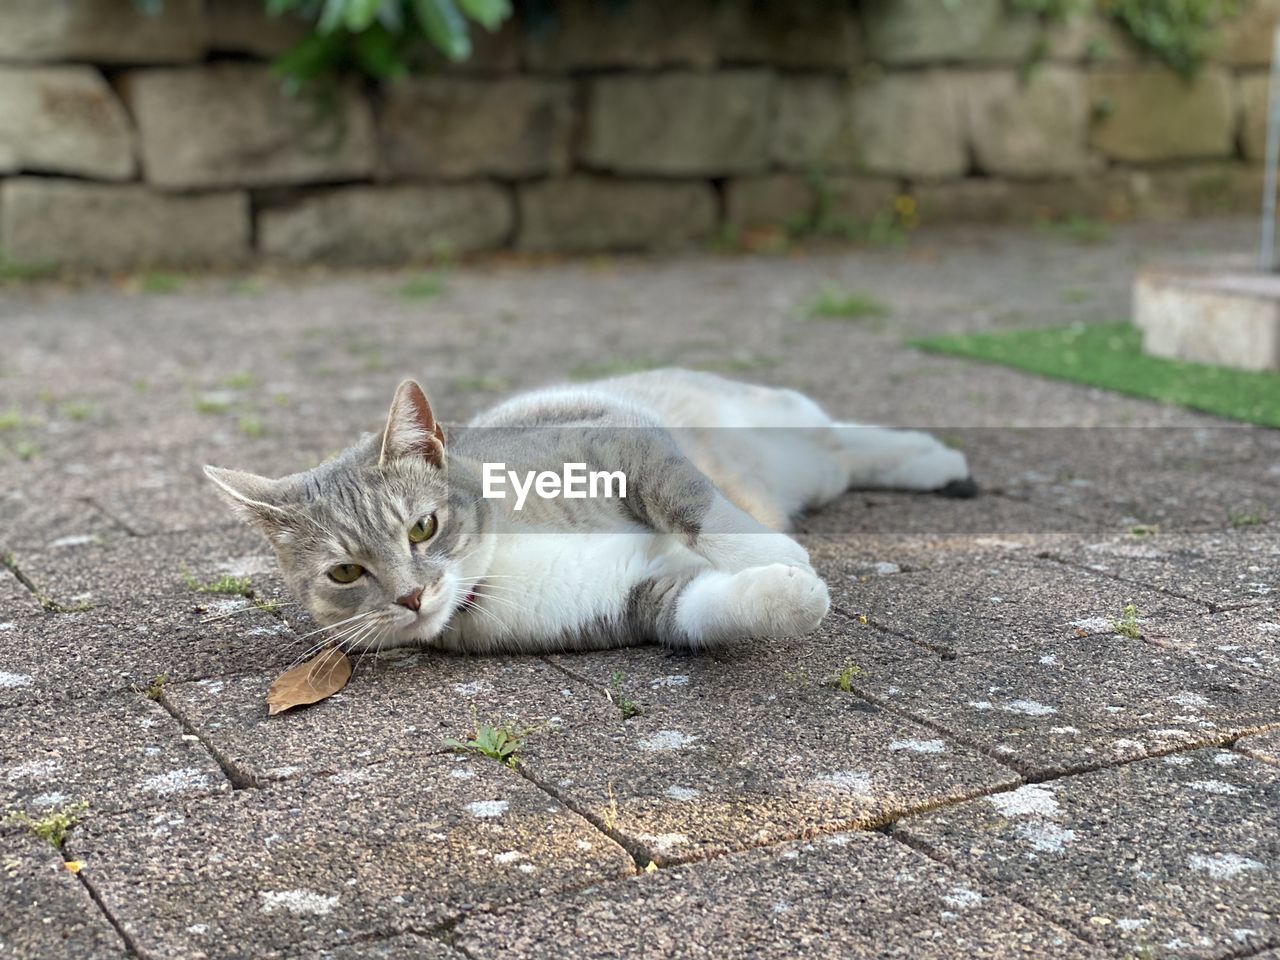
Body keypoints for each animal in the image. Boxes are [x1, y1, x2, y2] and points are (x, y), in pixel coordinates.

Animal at [204, 371, 972, 660]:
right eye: (345, 573)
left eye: (422, 527)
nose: (412, 596)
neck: (502, 563)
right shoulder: (630, 597)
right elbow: (704, 611)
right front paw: (787, 589)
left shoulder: (618, 439)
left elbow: (694, 505)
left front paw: (772, 554)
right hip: (814, 469)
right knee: (842, 457)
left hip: (776, 414)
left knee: (841, 434)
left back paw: (935, 456)